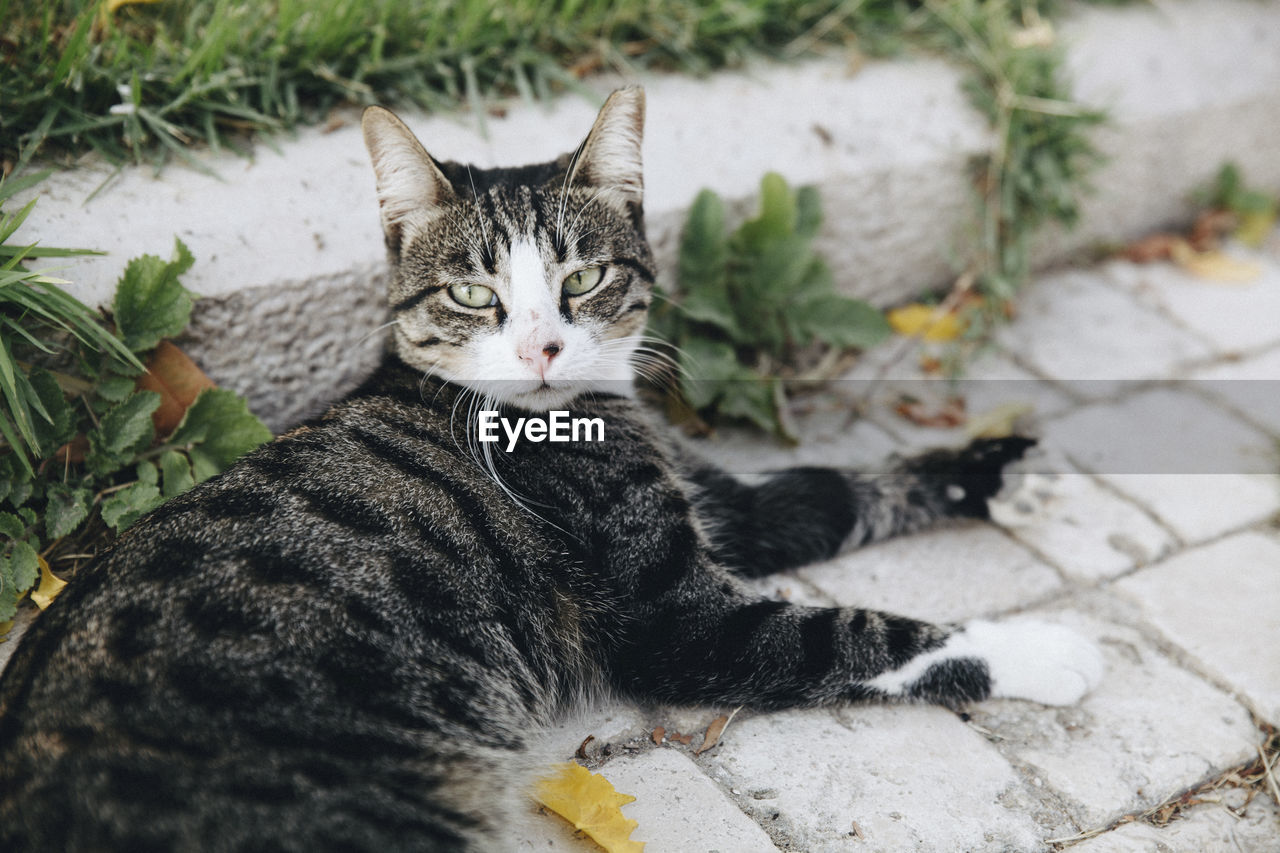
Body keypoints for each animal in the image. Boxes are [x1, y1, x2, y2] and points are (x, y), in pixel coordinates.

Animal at [0, 89, 1100, 845]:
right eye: (471, 293)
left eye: (585, 277)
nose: (541, 346)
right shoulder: (676, 620)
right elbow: (866, 633)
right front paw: (1048, 648)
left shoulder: (711, 500)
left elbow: (830, 489)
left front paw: (1006, 473)